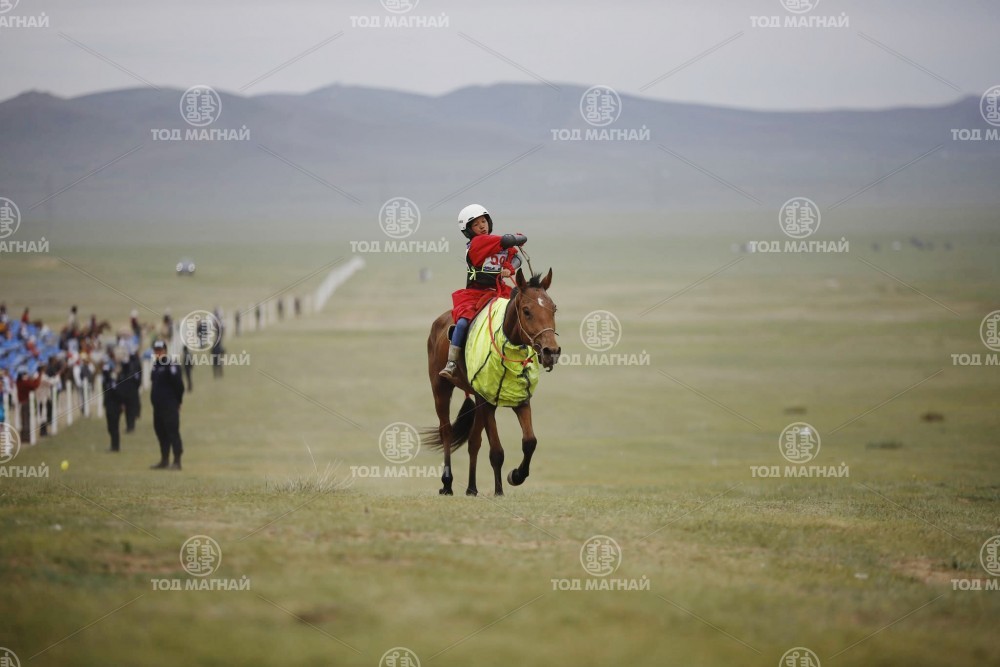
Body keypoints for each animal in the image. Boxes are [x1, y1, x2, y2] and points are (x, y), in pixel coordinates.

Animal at [423, 268, 560, 496]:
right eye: (526, 311)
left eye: (553, 309)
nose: (552, 352)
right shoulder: (487, 402)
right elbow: (496, 450)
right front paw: (499, 491)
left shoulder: (520, 399)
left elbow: (529, 441)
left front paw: (516, 476)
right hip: (440, 388)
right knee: (446, 432)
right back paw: (447, 484)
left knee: (474, 441)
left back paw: (471, 488)